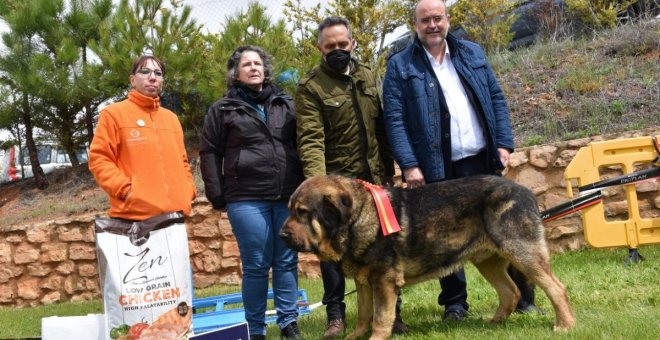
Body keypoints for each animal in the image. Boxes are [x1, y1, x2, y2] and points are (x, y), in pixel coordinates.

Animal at [282, 175, 576, 340]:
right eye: (291, 210)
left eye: (302, 212)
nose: (282, 235)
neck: (358, 217)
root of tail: (525, 190)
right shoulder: (364, 280)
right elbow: (364, 313)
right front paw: (354, 336)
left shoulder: (383, 280)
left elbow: (381, 317)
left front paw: (376, 337)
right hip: (487, 261)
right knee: (510, 291)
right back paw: (494, 323)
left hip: (522, 252)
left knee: (556, 288)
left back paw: (565, 325)